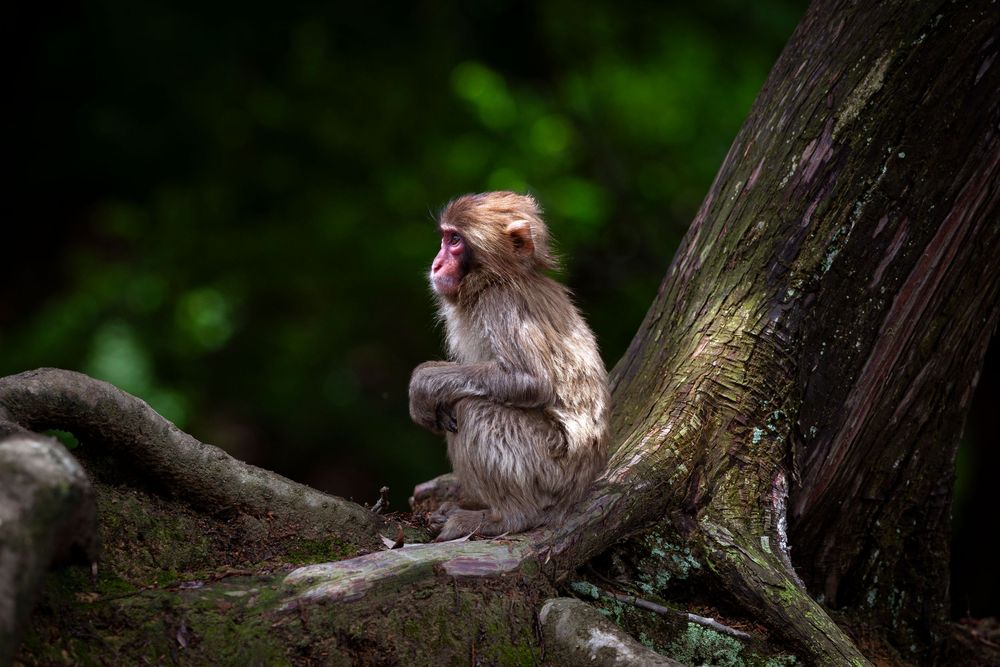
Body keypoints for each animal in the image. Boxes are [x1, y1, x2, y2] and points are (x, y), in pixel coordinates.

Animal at [409, 191, 610, 541]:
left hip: (548, 470)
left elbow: (531, 381)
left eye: (455, 241)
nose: (436, 263)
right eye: (445, 238)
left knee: (473, 408)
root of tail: (579, 489)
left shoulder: (501, 305)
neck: (494, 279)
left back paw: (508, 518)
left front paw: (424, 382)